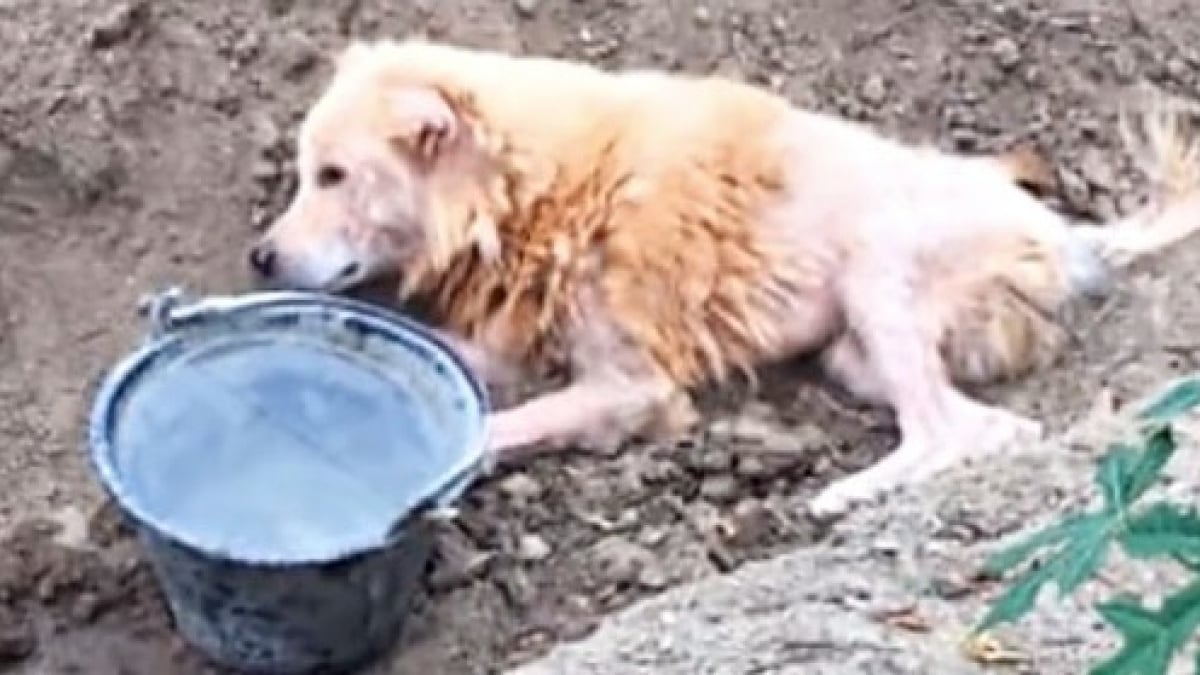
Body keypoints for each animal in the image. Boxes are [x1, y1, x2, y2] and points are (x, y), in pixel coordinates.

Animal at [246, 40, 1200, 514]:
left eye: (333, 175)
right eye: (302, 171)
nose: (260, 257)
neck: (538, 182)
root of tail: (1068, 232)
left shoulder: (628, 385)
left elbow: (490, 430)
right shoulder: (515, 346)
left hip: (875, 269)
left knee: (943, 432)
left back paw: (843, 496)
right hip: (856, 352)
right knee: (994, 428)